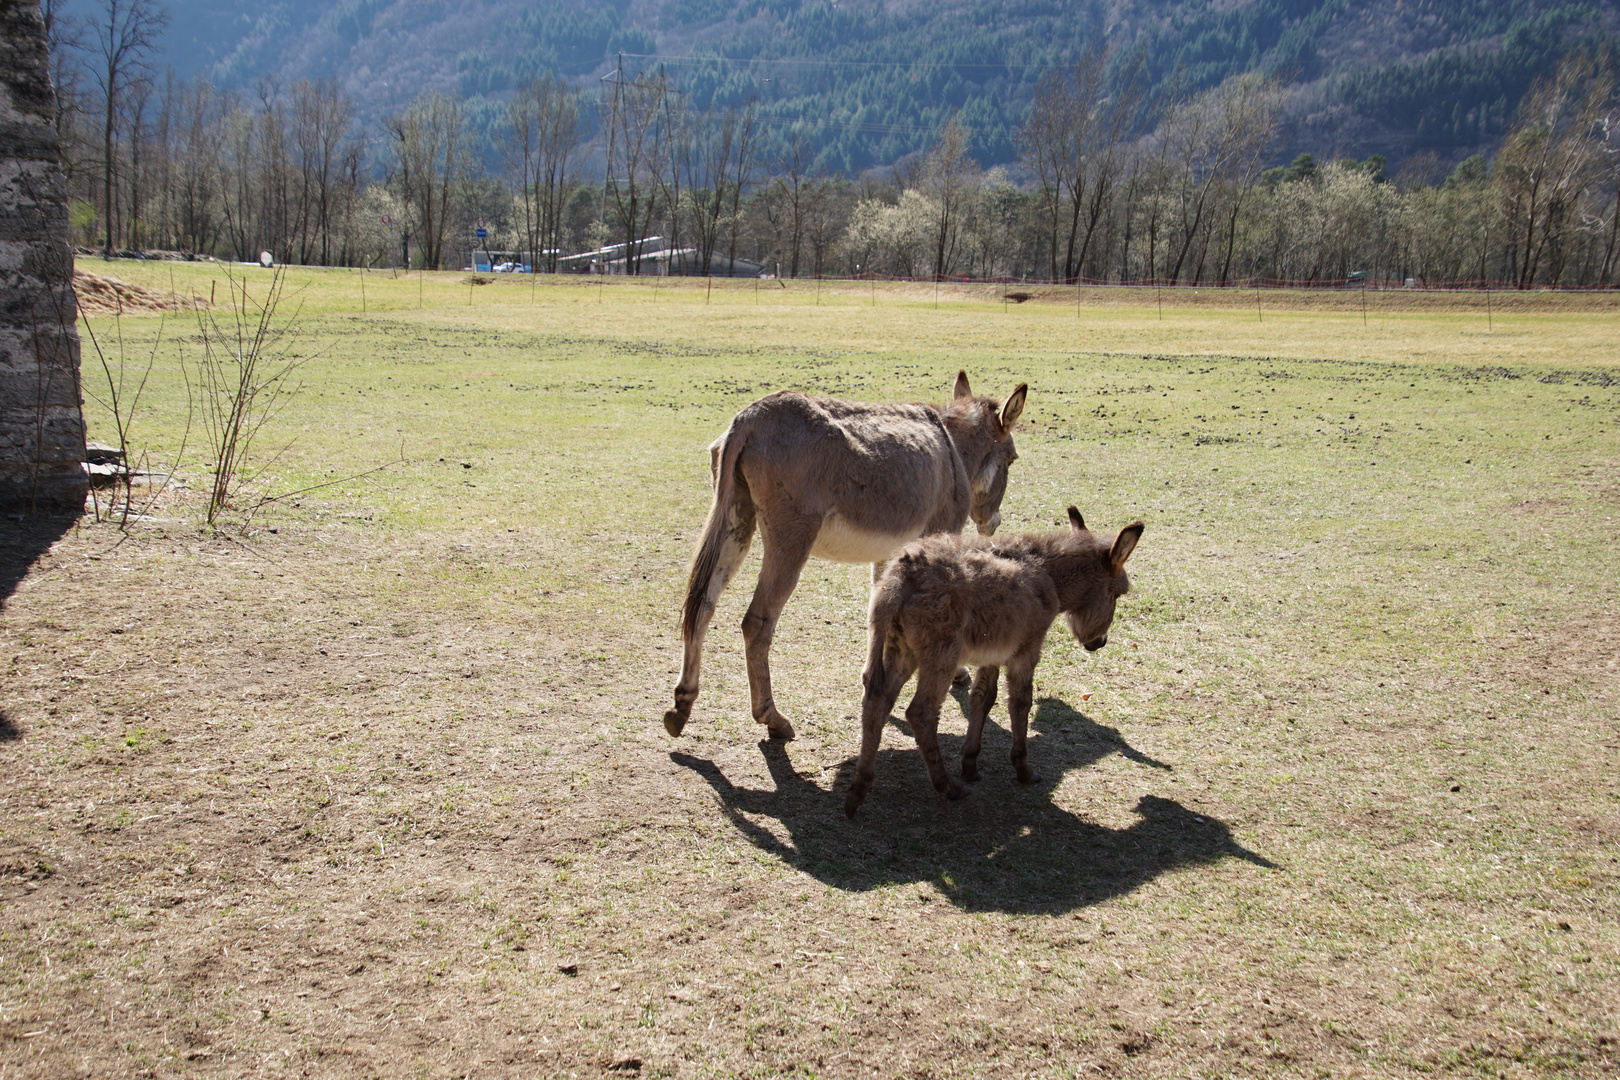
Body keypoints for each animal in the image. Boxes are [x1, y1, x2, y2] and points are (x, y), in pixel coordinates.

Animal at [842, 511, 1146, 816]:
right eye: (1116, 594)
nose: (1099, 643)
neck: (1047, 574)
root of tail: (900, 579)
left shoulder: (992, 653)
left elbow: (982, 698)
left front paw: (970, 764)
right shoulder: (1026, 650)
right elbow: (1021, 703)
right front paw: (1023, 770)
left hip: (900, 649)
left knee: (876, 700)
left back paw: (858, 791)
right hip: (941, 655)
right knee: (921, 713)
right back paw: (948, 787)